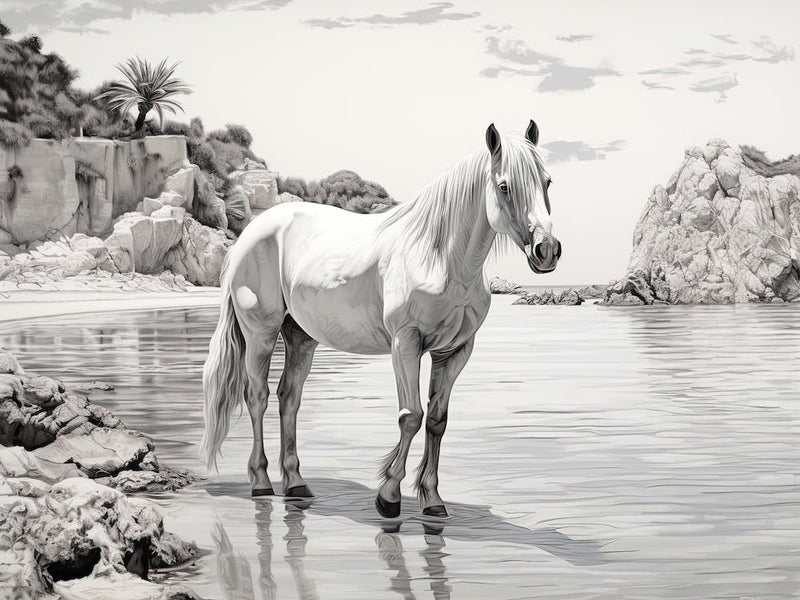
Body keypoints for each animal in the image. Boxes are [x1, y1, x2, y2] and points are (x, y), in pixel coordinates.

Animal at [200, 120, 561, 518]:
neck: (438, 256)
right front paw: (388, 497)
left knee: (289, 397)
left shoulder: (454, 351)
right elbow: (411, 416)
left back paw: (295, 484)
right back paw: (261, 482)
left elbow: (437, 420)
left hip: (301, 336)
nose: (547, 251)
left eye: (547, 182)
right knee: (257, 396)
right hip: (260, 334)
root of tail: (252, 232)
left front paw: (432, 500)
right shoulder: (406, 343)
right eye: (504, 185)